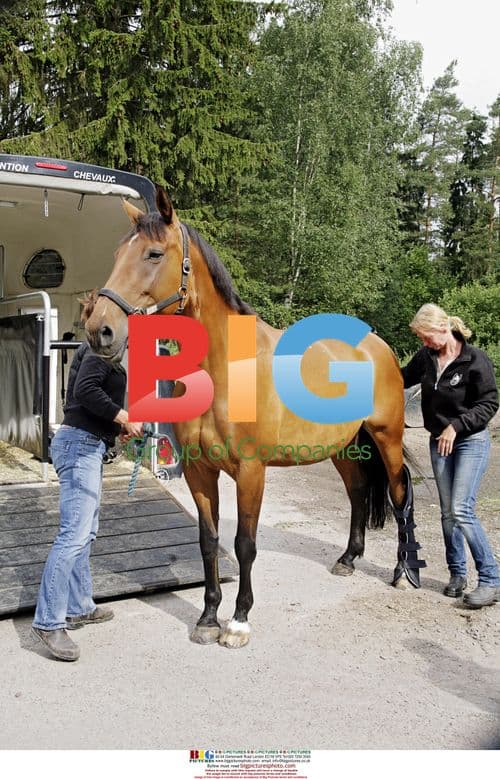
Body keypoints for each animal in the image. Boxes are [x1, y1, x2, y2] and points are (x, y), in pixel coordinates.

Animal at [85, 187, 426, 648]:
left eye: (153, 254)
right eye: (119, 253)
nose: (99, 330)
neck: (224, 368)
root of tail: (379, 346)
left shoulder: (251, 471)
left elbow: (244, 543)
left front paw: (238, 621)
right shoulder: (199, 470)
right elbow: (209, 541)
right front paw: (208, 618)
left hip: (386, 437)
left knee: (399, 494)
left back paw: (403, 573)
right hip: (343, 447)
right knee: (357, 492)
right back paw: (348, 559)